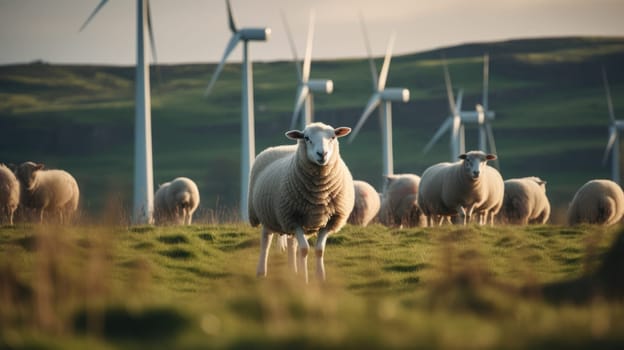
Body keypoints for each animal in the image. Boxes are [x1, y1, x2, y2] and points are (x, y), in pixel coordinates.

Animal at [249, 121, 356, 284]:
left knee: (293, 245)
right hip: (268, 216)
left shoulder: (330, 221)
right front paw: (304, 280)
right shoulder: (292, 218)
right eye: (306, 138)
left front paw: (319, 278)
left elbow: (319, 250)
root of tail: (282, 147)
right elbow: (305, 249)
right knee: (266, 242)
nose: (322, 154)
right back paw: (261, 272)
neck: (320, 194)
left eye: (333, 137)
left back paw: (293, 271)